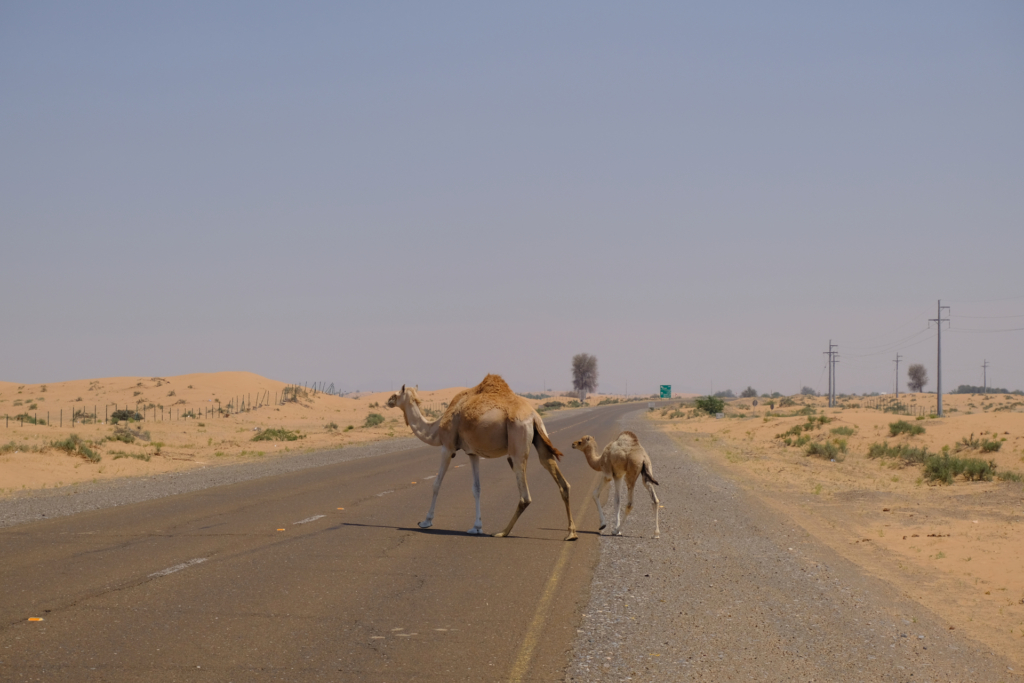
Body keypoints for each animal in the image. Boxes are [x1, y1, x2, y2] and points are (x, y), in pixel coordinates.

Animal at [386, 374, 577, 541]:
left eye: (397, 393)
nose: (388, 400)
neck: (436, 429)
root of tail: (534, 416)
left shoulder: (447, 447)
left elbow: (436, 484)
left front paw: (426, 521)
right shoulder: (473, 453)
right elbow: (476, 488)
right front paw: (476, 527)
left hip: (518, 439)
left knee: (525, 495)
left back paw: (502, 532)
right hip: (540, 437)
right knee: (557, 476)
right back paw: (571, 533)